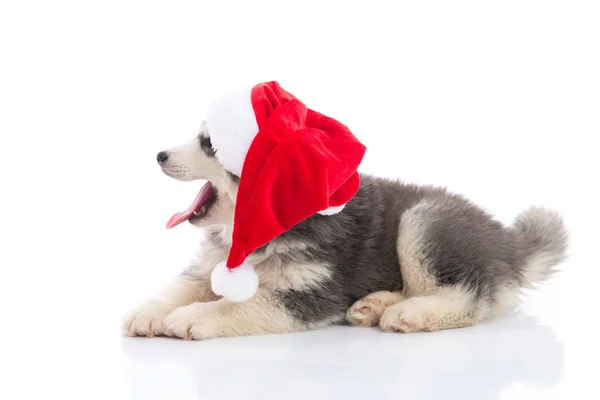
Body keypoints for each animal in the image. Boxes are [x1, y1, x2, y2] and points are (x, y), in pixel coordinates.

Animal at [122, 122, 568, 340]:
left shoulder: (313, 291)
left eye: (209, 144)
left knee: (468, 297)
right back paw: (374, 305)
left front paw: (192, 316)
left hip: (423, 223)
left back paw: (410, 313)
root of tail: (506, 240)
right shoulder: (211, 265)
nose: (159, 154)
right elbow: (183, 286)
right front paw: (150, 311)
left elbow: (241, 305)